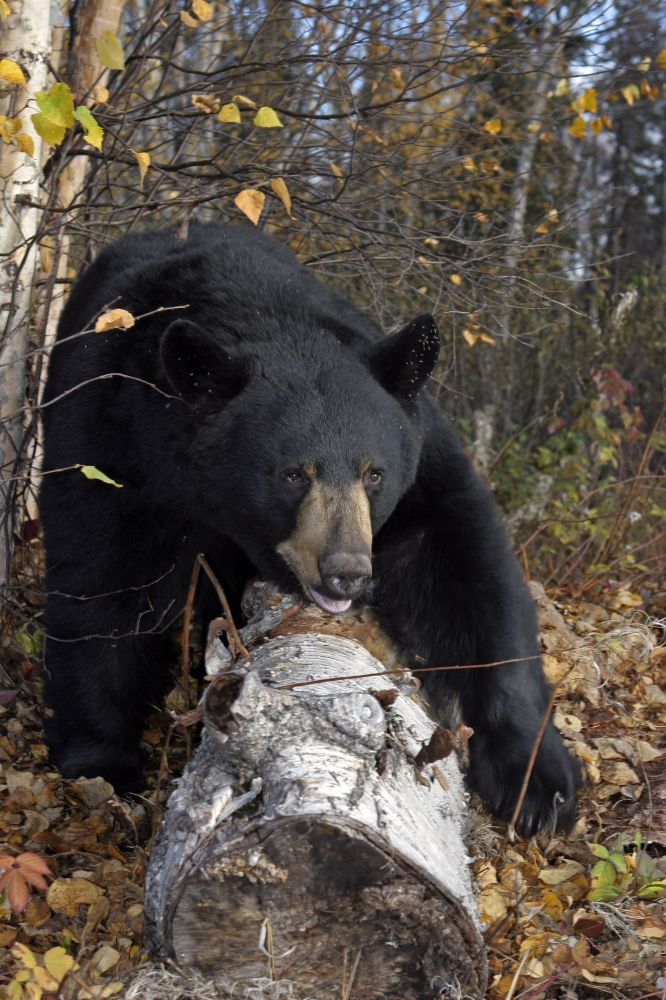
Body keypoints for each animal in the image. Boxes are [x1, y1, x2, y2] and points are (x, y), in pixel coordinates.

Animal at [39, 223, 581, 834]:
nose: (346, 572)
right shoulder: (116, 445)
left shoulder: (421, 464)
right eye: (294, 474)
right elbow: (103, 581)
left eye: (374, 472)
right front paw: (104, 764)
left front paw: (539, 786)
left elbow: (465, 571)